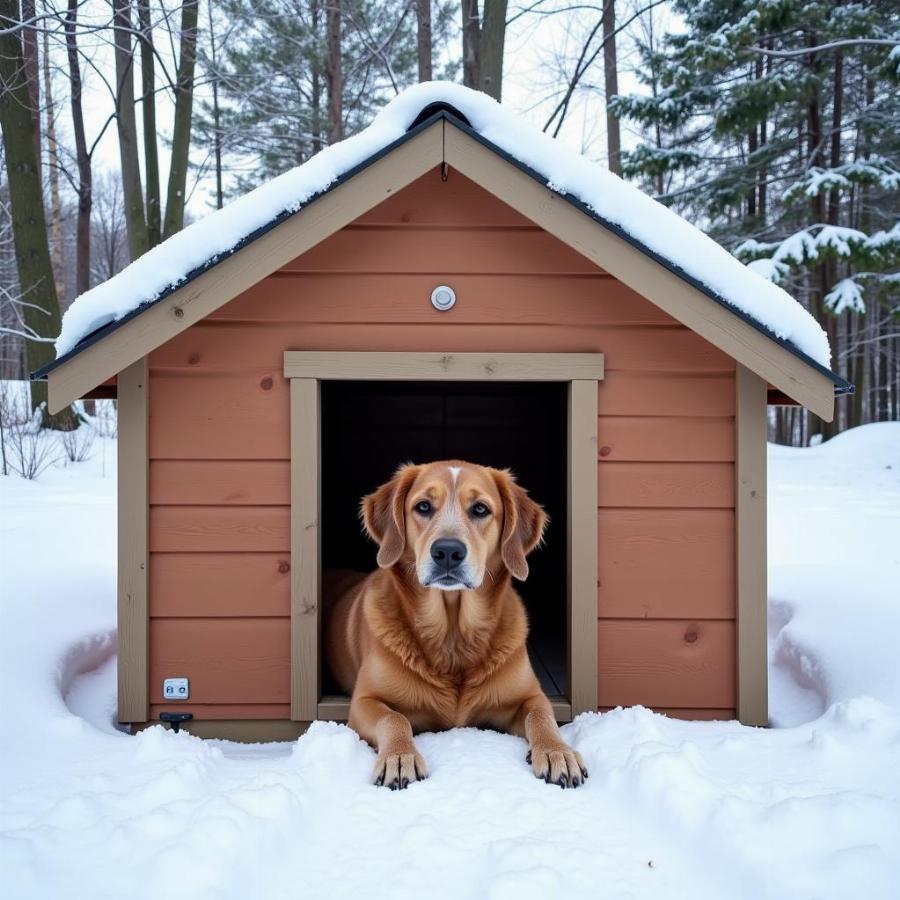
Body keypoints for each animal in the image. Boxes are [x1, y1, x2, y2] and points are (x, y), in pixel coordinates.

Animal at [326, 460, 592, 792]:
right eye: (423, 506)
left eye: (480, 509)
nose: (448, 552)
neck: (452, 633)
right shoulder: (364, 701)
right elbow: (394, 719)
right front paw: (399, 757)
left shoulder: (530, 696)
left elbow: (543, 718)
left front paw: (559, 752)